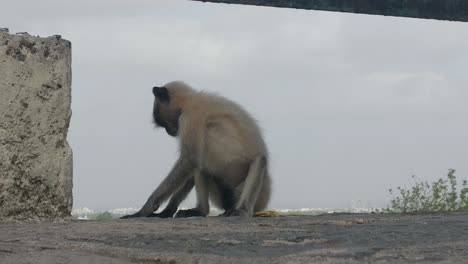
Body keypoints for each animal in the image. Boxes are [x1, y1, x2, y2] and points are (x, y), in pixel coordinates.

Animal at [121, 81, 270, 218]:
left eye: (164, 125)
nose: (169, 131)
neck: (191, 100)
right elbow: (193, 165)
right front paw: (168, 210)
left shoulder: (190, 117)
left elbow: (189, 159)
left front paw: (145, 209)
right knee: (202, 165)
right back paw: (201, 210)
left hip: (252, 193)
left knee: (259, 160)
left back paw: (242, 210)